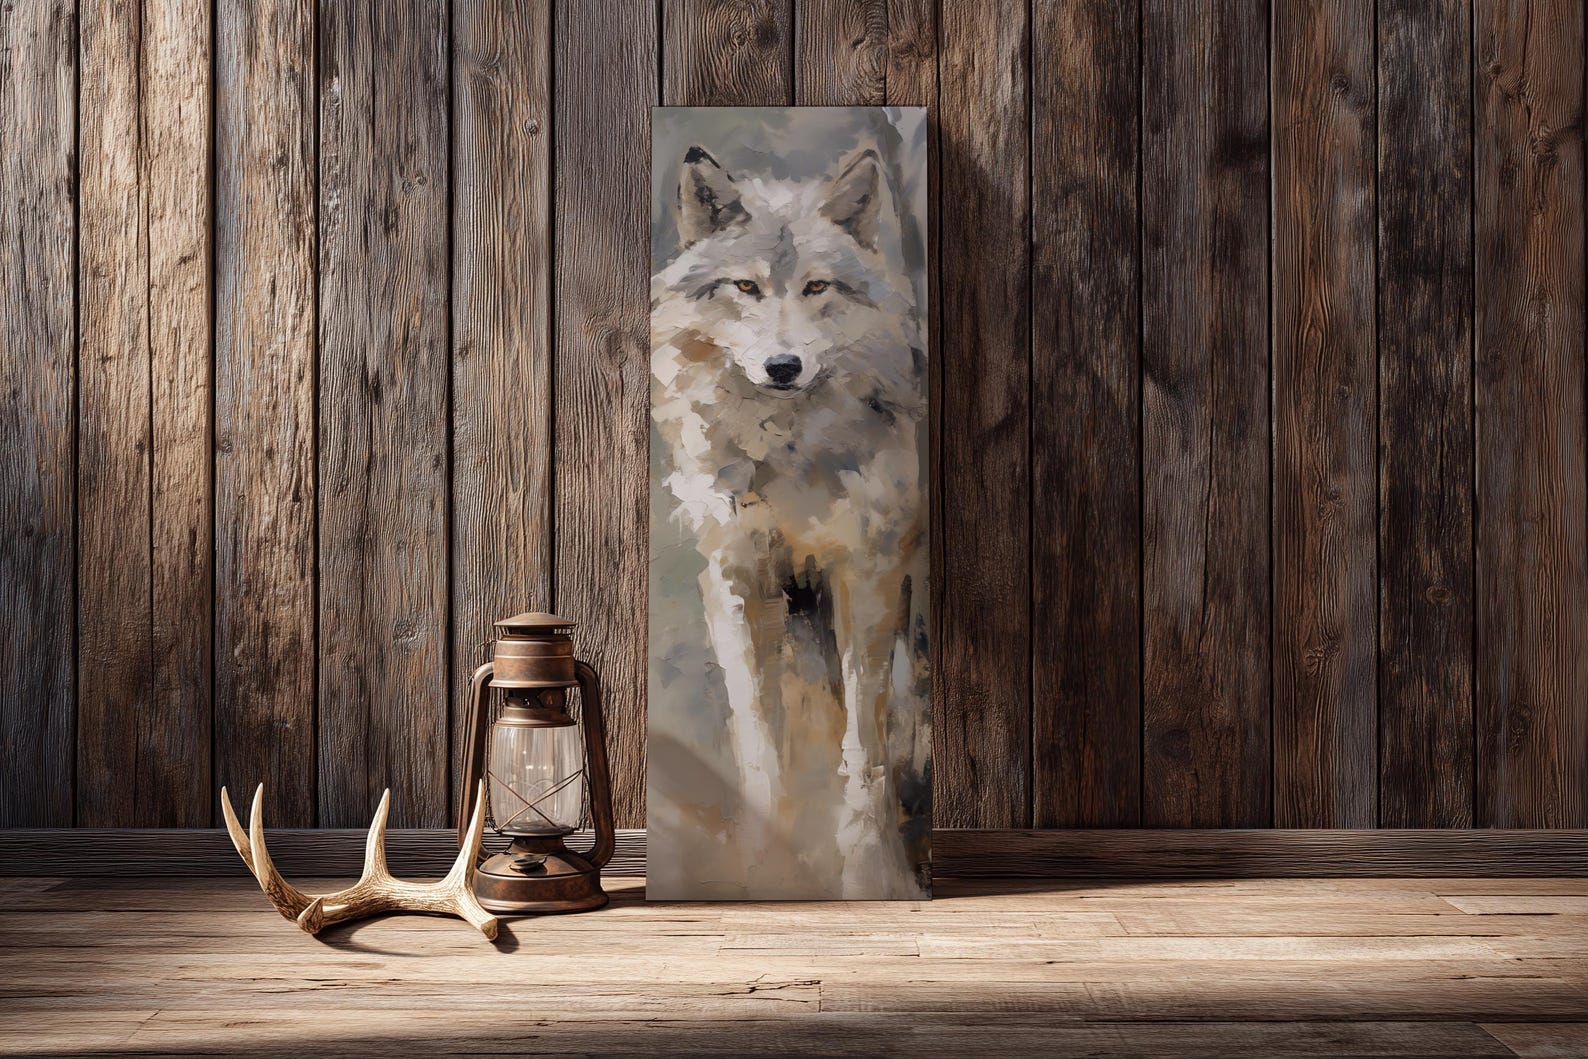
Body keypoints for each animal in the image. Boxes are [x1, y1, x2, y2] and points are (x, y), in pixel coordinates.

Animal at [651, 142, 930, 898]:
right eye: (745, 287)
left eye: (817, 287)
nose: (783, 365)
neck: (787, 450)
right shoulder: (739, 579)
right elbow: (758, 738)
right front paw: (764, 865)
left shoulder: (867, 575)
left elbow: (864, 741)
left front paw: (867, 871)